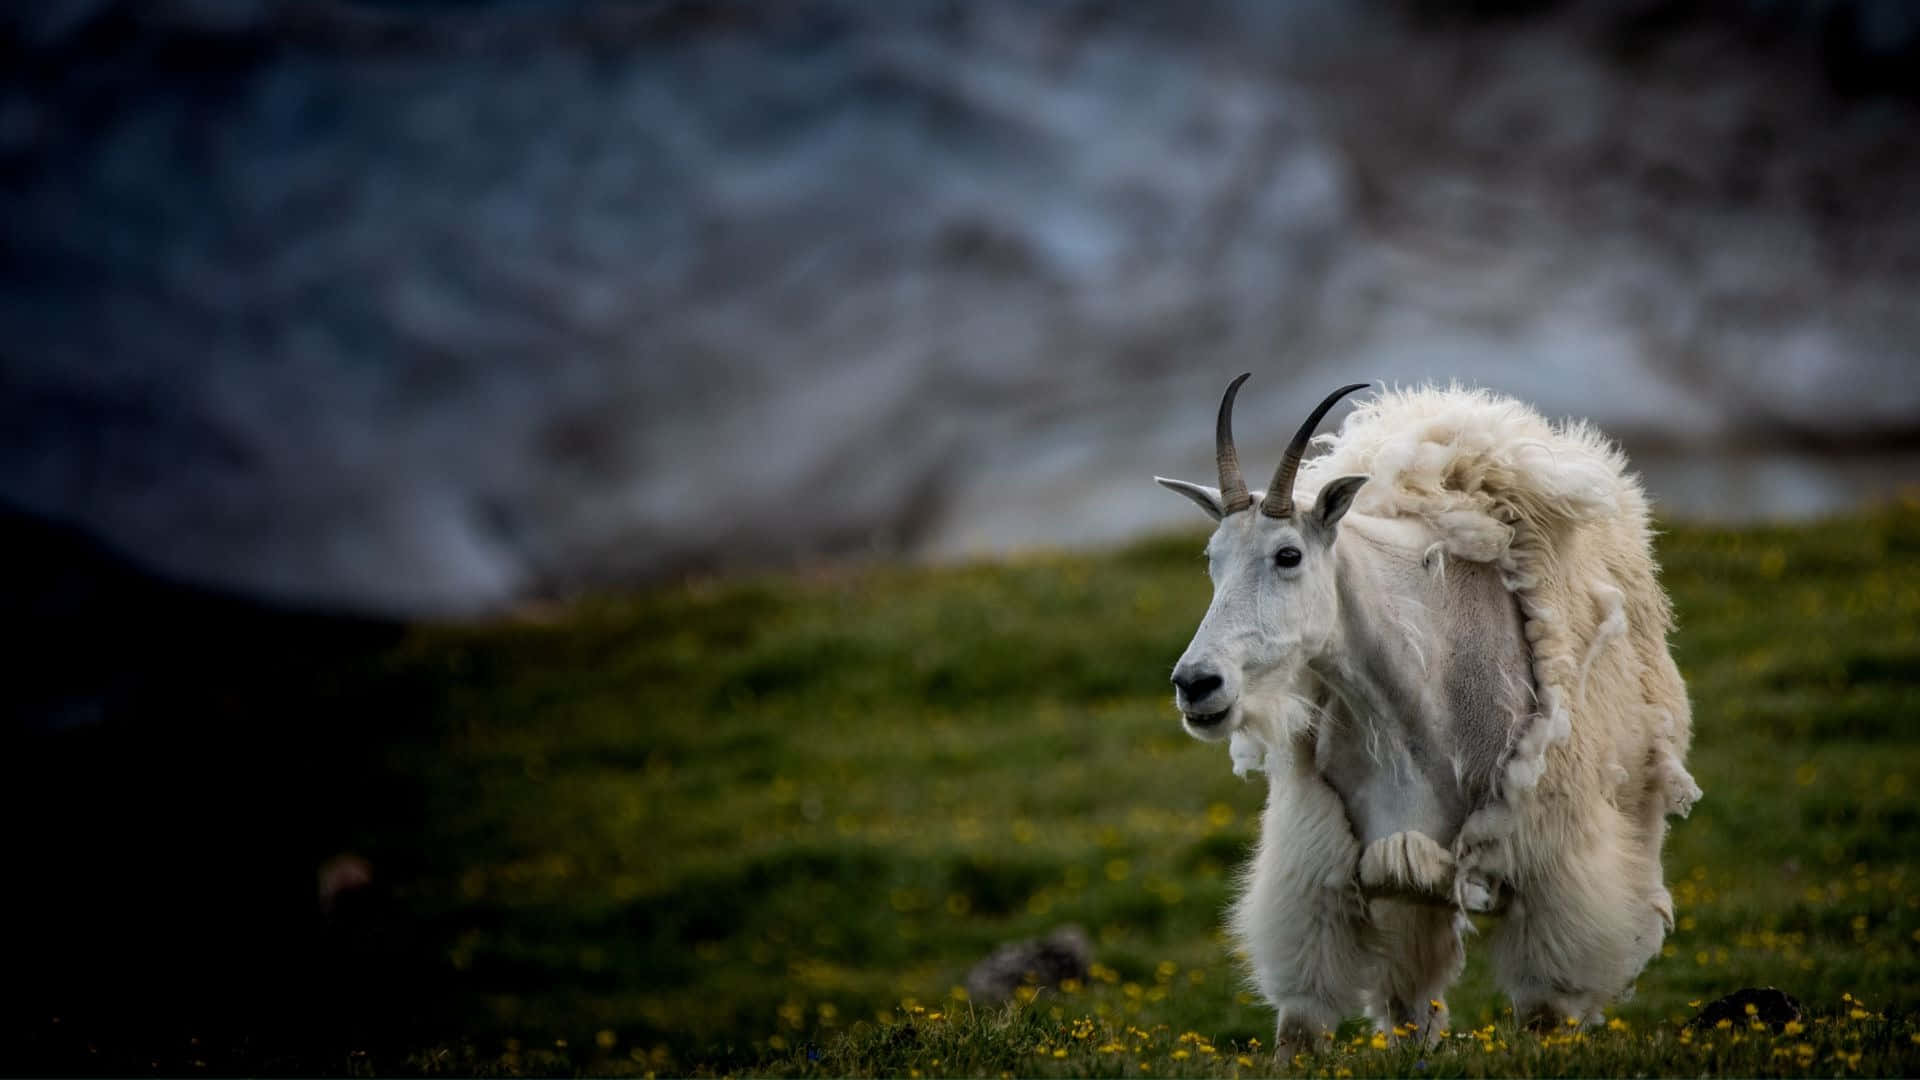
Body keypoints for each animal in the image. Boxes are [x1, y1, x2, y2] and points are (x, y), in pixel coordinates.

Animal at [1152, 376, 1697, 1045]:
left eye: (1288, 555)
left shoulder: (1549, 866)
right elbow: (1306, 1024)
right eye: (1213, 559)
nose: (1196, 685)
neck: (1411, 705)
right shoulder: (1334, 864)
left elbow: (1545, 1009)